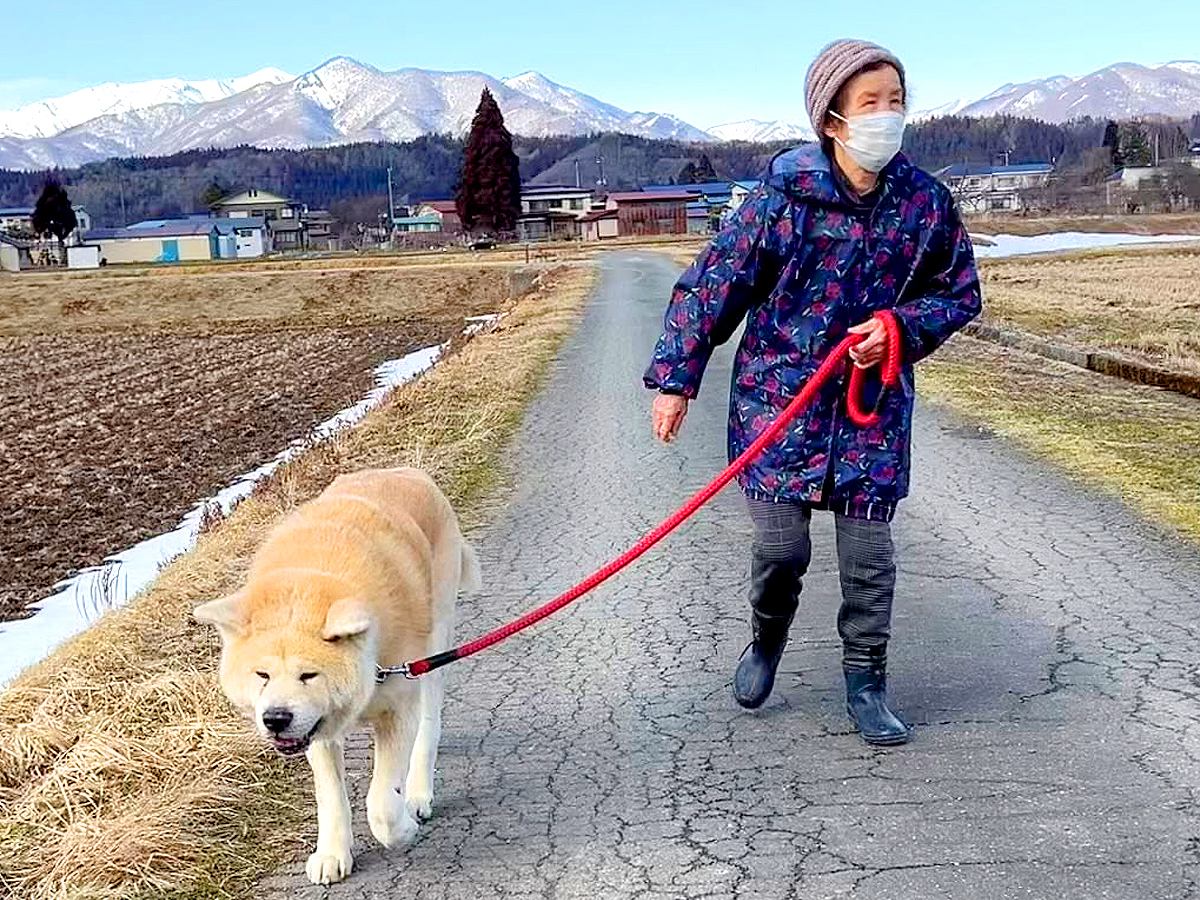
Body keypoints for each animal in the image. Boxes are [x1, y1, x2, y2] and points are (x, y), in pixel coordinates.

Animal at [195, 472, 477, 888]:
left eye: (308, 675)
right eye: (262, 675)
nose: (275, 719)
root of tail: (406, 471)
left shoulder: (397, 709)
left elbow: (381, 803)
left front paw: (402, 829)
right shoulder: (317, 730)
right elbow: (331, 797)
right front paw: (332, 853)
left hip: (434, 645)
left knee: (429, 723)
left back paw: (417, 792)